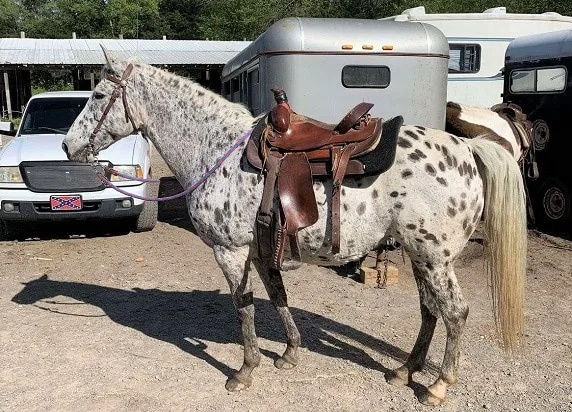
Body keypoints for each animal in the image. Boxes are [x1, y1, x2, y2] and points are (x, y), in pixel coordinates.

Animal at [61, 49, 528, 406]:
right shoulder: (261, 248)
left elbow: (244, 306)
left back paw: (437, 386)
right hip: (420, 255)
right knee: (430, 309)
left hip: (434, 257)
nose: (68, 146)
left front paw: (245, 370)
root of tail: (467, 147)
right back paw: (404, 370)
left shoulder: (229, 250)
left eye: (98, 93)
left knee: (455, 312)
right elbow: (276, 296)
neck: (215, 149)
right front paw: (289, 353)